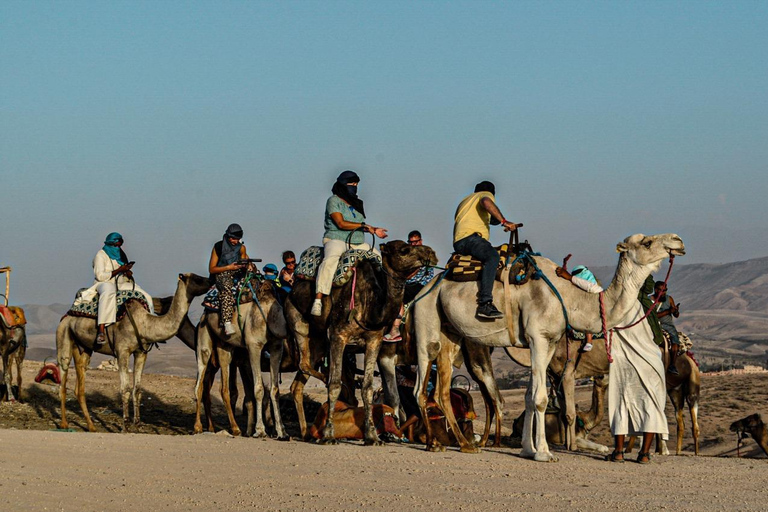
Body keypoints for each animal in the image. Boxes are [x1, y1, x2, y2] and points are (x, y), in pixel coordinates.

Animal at [57, 273, 211, 431]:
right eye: (197, 279)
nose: (211, 280)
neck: (144, 323)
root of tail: (68, 313)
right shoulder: (122, 351)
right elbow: (125, 389)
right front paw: (125, 425)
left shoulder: (141, 353)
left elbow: (137, 389)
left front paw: (137, 424)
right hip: (64, 331)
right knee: (63, 373)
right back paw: (64, 423)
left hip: (84, 347)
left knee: (80, 378)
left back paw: (91, 426)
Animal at [193, 276, 290, 440]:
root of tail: (203, 315)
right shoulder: (254, 346)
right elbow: (258, 389)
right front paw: (260, 430)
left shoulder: (277, 347)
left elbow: (275, 390)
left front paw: (282, 432)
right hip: (204, 337)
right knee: (200, 383)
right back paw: (198, 427)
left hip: (224, 348)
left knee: (221, 386)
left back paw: (230, 428)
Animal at [286, 240, 437, 445]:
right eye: (404, 250)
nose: (431, 253)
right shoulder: (338, 337)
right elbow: (335, 385)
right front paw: (328, 434)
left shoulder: (374, 341)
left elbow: (367, 388)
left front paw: (372, 436)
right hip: (297, 320)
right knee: (304, 363)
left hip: (318, 342)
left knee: (299, 381)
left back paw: (305, 433)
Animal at [412, 233, 685, 460]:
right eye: (647, 242)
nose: (677, 240)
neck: (569, 298)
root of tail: (428, 286)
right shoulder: (538, 338)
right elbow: (541, 398)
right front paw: (544, 452)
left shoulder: (551, 342)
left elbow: (530, 397)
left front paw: (527, 449)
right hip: (426, 320)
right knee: (421, 386)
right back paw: (439, 444)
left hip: (451, 333)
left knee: (440, 390)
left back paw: (457, 444)